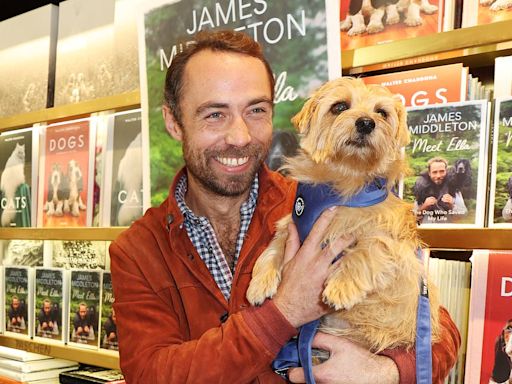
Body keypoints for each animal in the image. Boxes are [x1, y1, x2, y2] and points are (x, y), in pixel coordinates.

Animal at [247, 76, 440, 352]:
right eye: (339, 107)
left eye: (381, 113)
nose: (366, 123)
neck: (344, 177)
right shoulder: (291, 224)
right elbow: (273, 248)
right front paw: (260, 283)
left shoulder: (392, 242)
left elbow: (367, 248)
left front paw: (342, 284)